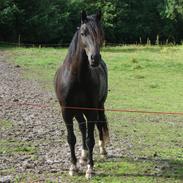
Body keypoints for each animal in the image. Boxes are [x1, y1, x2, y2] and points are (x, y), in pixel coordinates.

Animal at [54, 10, 108, 179]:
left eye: (101, 33)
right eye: (84, 33)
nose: (94, 58)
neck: (77, 77)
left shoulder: (91, 111)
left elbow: (91, 139)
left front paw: (90, 169)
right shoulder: (66, 111)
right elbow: (71, 138)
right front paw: (73, 166)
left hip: (100, 106)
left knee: (99, 125)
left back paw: (103, 151)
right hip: (77, 111)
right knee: (82, 127)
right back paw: (83, 157)